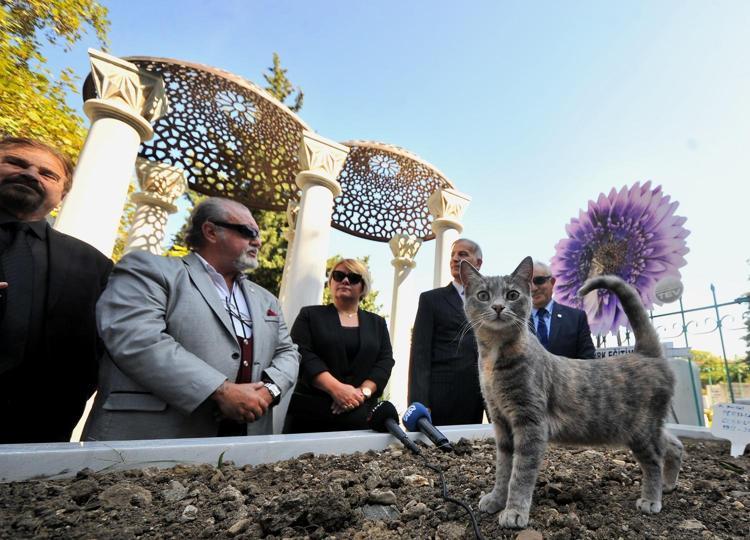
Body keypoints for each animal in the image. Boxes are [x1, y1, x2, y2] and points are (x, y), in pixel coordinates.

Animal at [460, 256, 683, 529]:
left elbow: (520, 473)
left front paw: (514, 511)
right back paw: (669, 483)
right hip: (649, 429)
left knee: (654, 461)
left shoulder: (530, 423)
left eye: (512, 294)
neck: (494, 359)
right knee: (674, 444)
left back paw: (652, 498)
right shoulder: (501, 423)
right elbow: (503, 469)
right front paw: (496, 499)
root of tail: (646, 354)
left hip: (641, 431)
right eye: (483, 295)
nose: (499, 306)